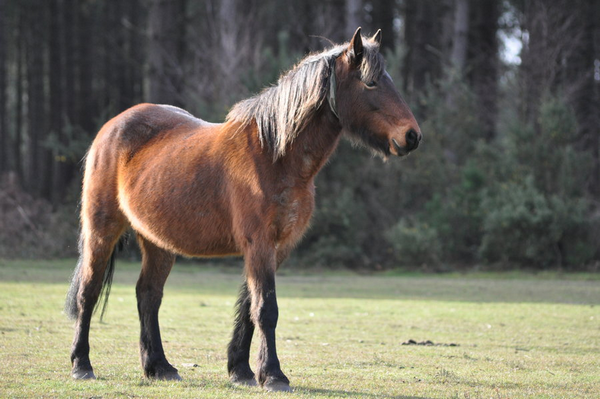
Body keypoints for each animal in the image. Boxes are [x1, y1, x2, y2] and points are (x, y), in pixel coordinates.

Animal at [63, 28, 420, 394]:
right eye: (371, 83)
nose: (411, 135)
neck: (275, 155)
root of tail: (113, 127)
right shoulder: (258, 243)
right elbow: (266, 309)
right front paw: (273, 375)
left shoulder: (278, 247)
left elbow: (249, 308)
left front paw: (242, 370)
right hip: (101, 231)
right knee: (88, 293)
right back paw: (82, 365)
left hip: (157, 242)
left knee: (148, 295)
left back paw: (159, 366)